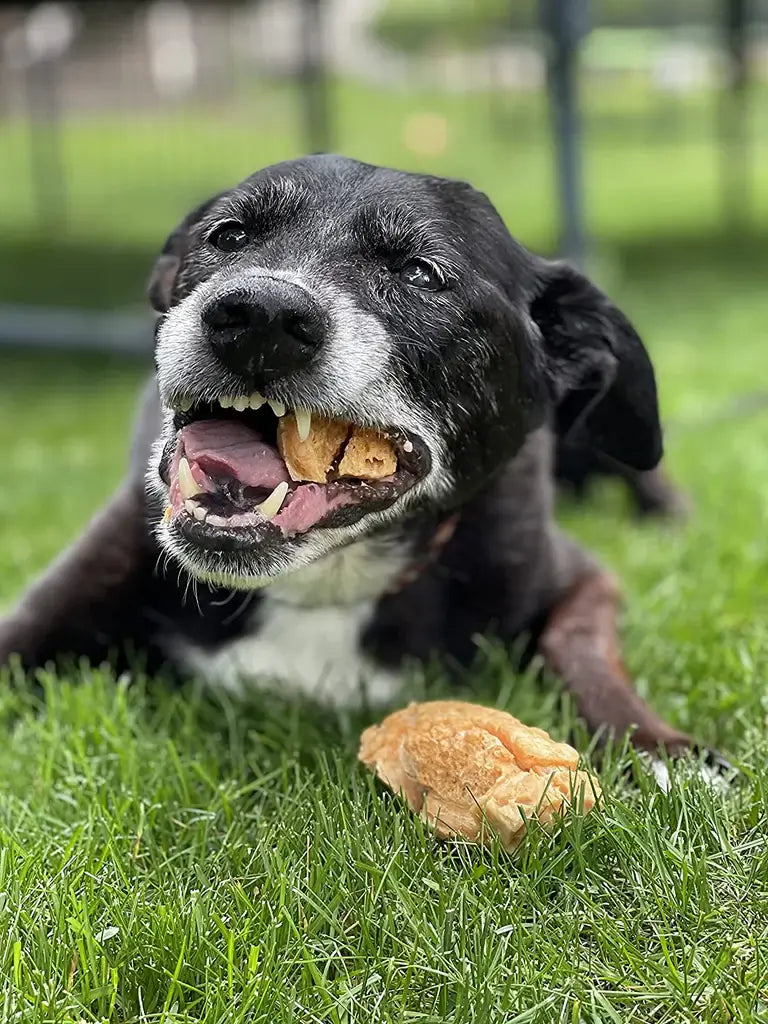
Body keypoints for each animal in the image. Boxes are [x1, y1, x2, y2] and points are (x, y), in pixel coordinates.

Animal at [3, 153, 716, 770]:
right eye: (229, 234)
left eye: (421, 274)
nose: (259, 315)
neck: (322, 582)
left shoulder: (582, 580)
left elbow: (582, 648)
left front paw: (662, 752)